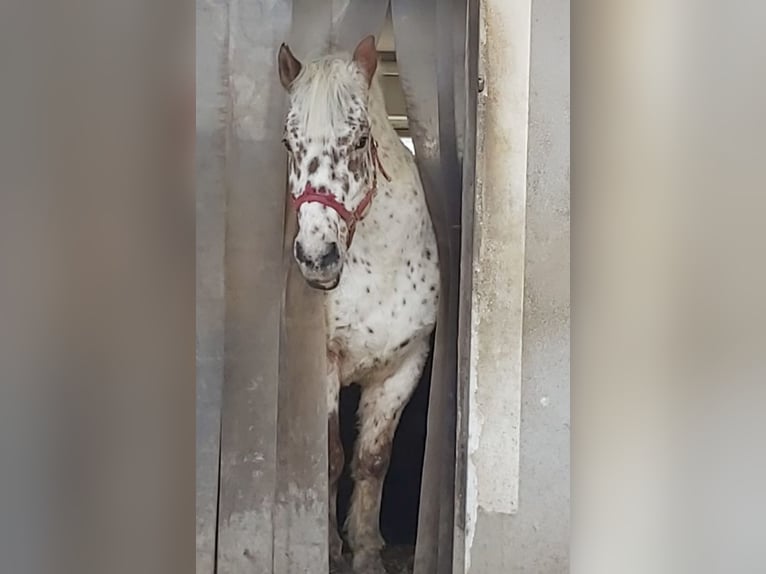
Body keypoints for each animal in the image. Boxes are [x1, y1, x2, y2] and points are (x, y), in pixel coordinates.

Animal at [280, 37, 440, 574]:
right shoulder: (325, 365)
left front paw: (368, 549)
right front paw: (330, 548)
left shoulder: (404, 366)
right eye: (289, 145)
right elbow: (330, 458)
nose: (317, 256)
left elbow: (372, 460)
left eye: (359, 140)